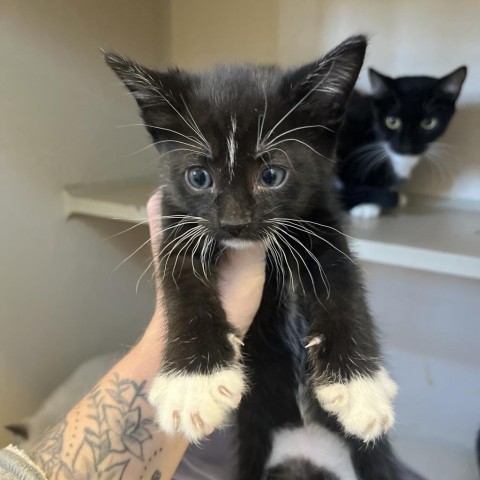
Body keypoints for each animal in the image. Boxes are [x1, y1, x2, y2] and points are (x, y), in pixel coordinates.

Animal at [106, 35, 404, 478]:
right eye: (198, 177)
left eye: (272, 176)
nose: (235, 223)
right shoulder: (176, 215)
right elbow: (181, 275)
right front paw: (193, 381)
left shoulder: (322, 216)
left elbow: (343, 283)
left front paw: (359, 386)